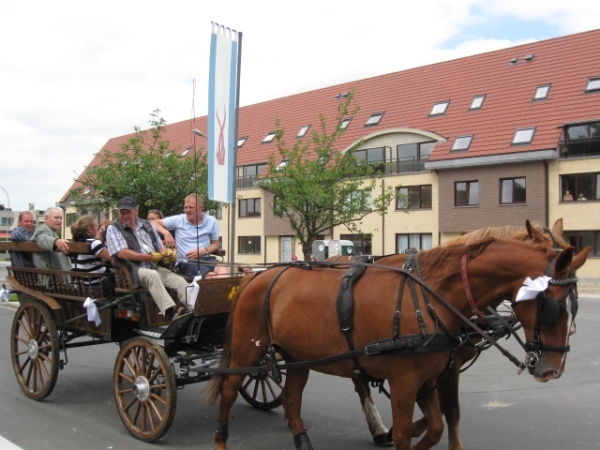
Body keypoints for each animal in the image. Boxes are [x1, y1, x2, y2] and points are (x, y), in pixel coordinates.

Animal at [204, 229, 588, 450]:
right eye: (552, 307)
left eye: (574, 306)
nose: (552, 368)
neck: (431, 297)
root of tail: (257, 276)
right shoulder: (405, 382)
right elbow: (413, 430)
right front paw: (395, 434)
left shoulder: (432, 376)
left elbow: (439, 424)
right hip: (248, 350)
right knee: (229, 390)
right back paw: (220, 439)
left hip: (297, 355)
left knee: (291, 398)